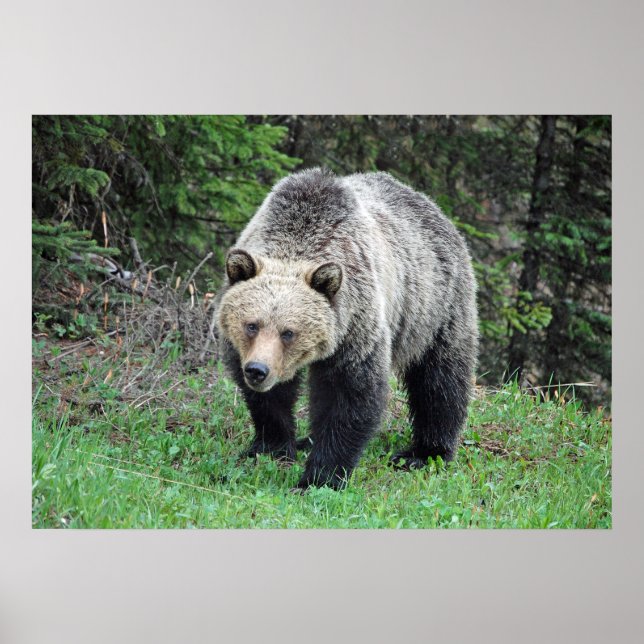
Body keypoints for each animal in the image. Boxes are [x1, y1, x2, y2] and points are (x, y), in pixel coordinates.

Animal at [216, 168, 478, 489]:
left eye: (289, 332)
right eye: (251, 325)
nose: (257, 370)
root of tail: (431, 205)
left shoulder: (355, 325)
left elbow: (348, 396)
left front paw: (319, 477)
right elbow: (269, 400)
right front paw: (270, 447)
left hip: (435, 307)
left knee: (439, 379)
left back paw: (424, 452)